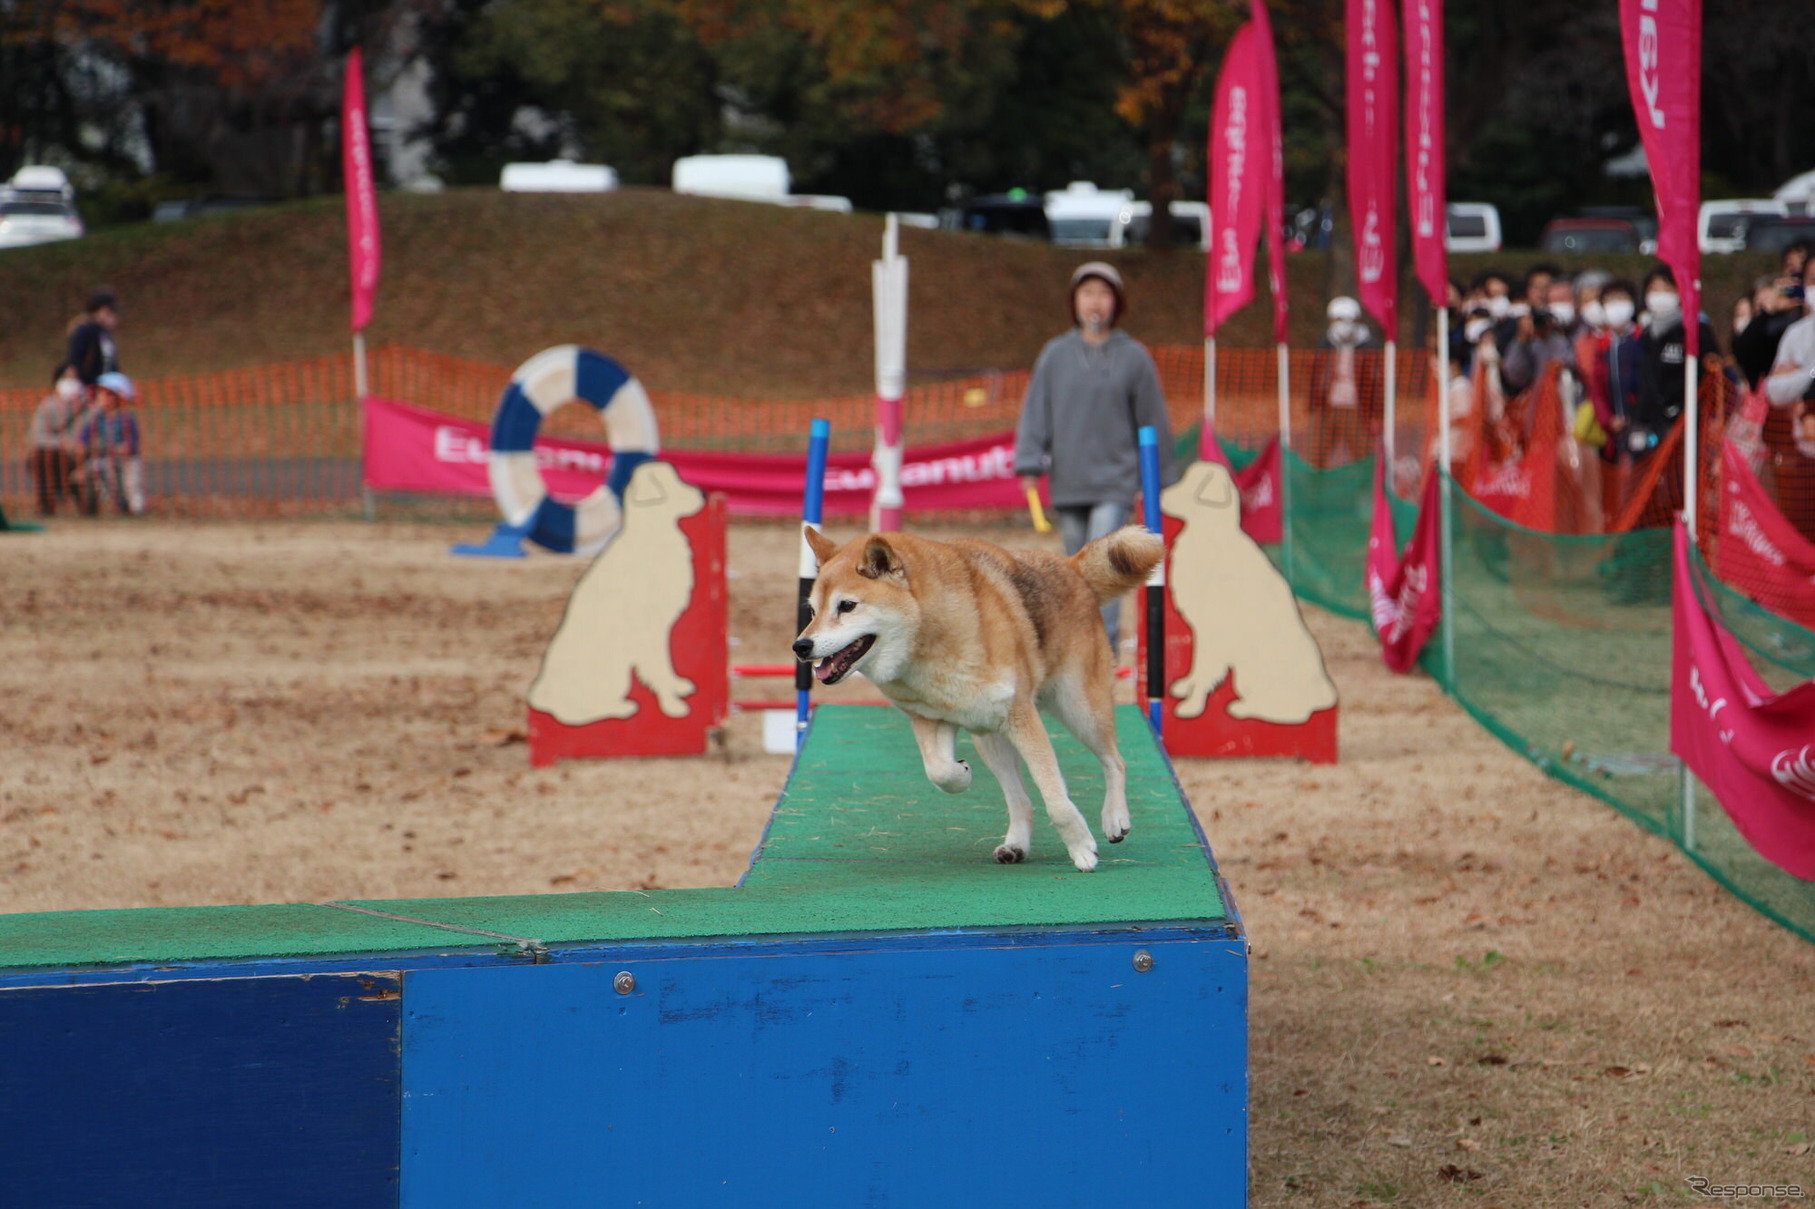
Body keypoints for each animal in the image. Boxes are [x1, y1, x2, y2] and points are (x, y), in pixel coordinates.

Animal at [791, 522, 1161, 871]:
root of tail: (1072, 567)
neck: (930, 641)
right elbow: (939, 771)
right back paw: (1016, 844)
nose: (800, 646)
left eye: (847, 606)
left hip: (1080, 709)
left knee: (1115, 761)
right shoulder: (931, 718)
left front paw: (1082, 849)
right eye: (812, 611)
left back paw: (1115, 818)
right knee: (1020, 800)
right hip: (990, 736)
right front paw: (962, 772)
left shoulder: (1022, 716)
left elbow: (1055, 796)